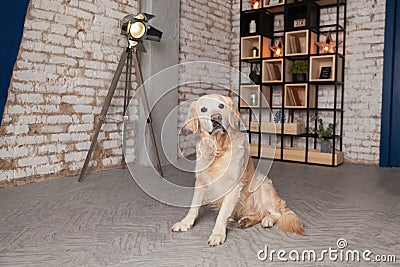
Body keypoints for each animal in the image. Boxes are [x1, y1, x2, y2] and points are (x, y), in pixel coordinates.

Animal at [170, 94, 304, 247]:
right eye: (203, 109)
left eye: (221, 106)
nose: (216, 117)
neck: (218, 149)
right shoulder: (201, 181)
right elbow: (194, 206)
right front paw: (185, 223)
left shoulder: (233, 186)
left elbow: (222, 214)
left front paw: (217, 234)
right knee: (260, 213)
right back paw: (247, 220)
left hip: (262, 185)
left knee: (277, 213)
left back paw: (268, 220)